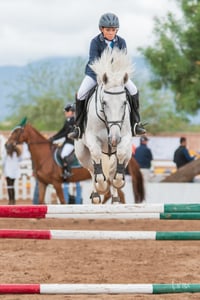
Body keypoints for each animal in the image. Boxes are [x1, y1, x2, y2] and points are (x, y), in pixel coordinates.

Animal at [5, 122, 145, 204]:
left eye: (17, 132)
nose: (7, 145)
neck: (44, 156)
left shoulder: (57, 183)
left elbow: (62, 201)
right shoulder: (42, 183)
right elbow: (40, 201)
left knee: (119, 195)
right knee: (111, 194)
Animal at [75, 48, 133, 204]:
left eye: (124, 103)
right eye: (104, 102)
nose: (114, 139)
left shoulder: (125, 137)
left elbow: (120, 154)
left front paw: (118, 181)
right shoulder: (92, 139)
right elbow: (96, 159)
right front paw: (101, 186)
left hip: (125, 153)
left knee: (115, 167)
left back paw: (115, 197)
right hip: (82, 153)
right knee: (92, 169)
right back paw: (96, 194)